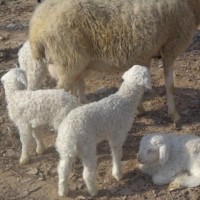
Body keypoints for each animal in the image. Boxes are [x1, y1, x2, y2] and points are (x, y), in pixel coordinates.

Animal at [28, 0, 200, 122]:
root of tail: (36, 26)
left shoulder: (145, 54)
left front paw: (140, 109)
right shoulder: (170, 45)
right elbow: (170, 85)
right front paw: (174, 115)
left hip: (69, 63)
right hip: (69, 59)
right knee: (60, 92)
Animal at [55, 64, 152, 197]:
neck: (125, 99)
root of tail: (69, 134)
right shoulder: (118, 134)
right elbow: (116, 154)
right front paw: (118, 174)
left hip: (65, 150)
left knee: (62, 170)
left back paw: (63, 191)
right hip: (87, 147)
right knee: (87, 173)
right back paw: (93, 191)